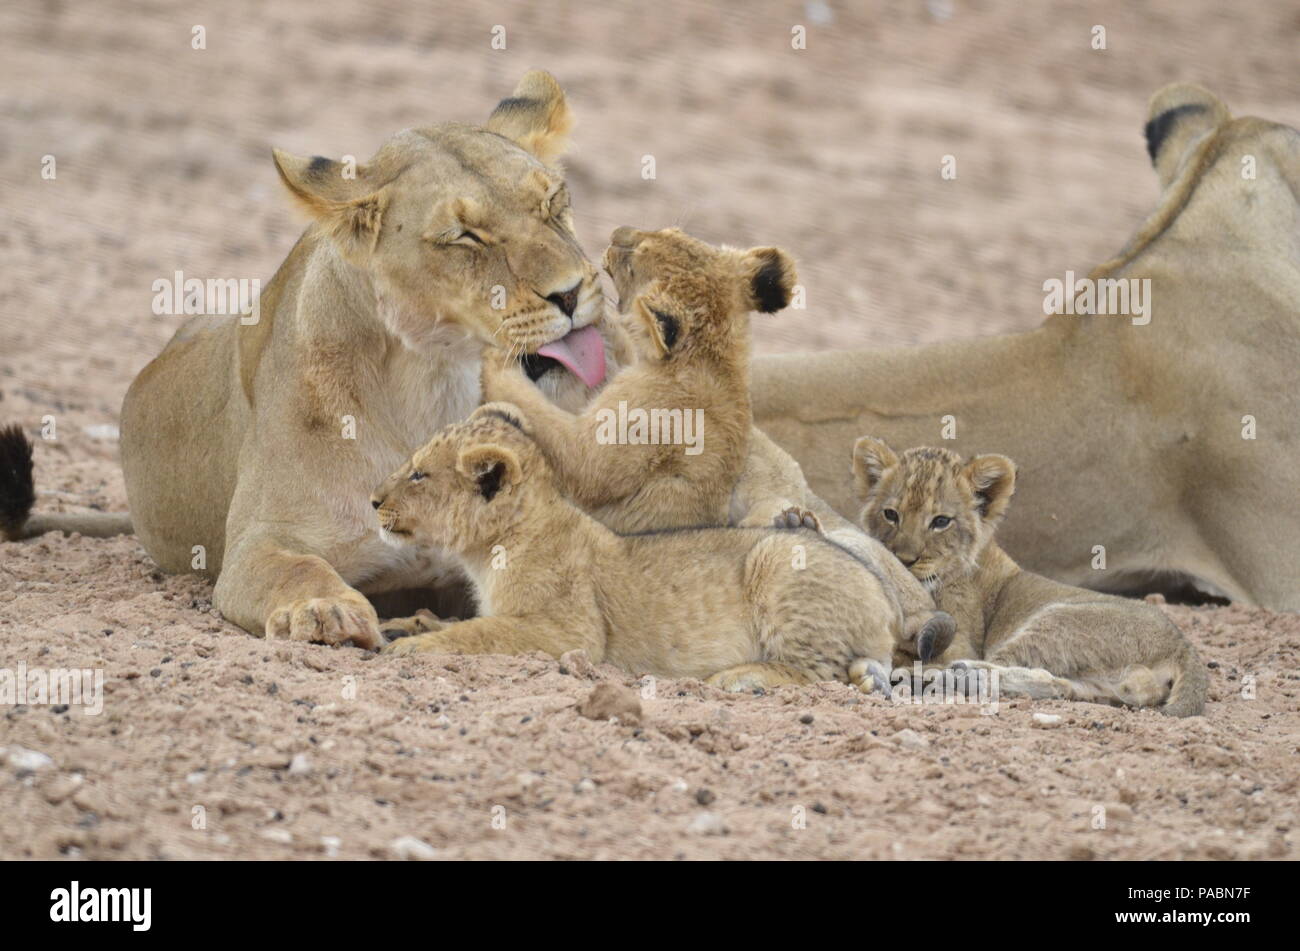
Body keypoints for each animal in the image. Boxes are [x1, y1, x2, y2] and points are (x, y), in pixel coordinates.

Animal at [371, 404, 910, 693]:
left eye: (418, 474)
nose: (373, 500)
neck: (491, 549)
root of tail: (887, 604)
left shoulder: (572, 631)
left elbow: (481, 633)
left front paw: (414, 646)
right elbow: (466, 623)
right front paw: (409, 624)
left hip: (776, 559)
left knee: (822, 672)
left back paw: (740, 677)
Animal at [851, 437, 1208, 717]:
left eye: (941, 521)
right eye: (891, 514)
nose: (903, 560)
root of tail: (1183, 646)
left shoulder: (959, 640)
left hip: (1057, 622)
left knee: (1004, 665)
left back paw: (943, 675)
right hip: (1099, 682)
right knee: (1059, 684)